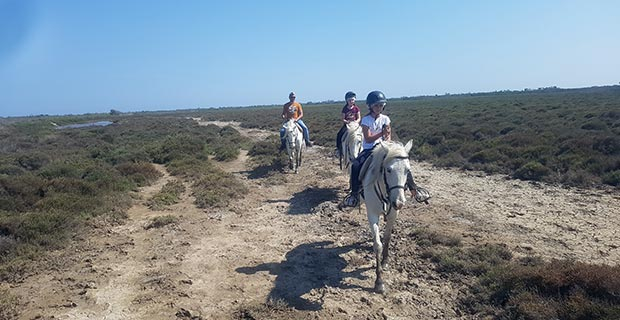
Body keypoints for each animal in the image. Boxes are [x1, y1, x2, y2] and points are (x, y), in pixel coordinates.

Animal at [358, 140, 412, 292]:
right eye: (388, 170)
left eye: (407, 170)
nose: (399, 203)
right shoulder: (372, 215)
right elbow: (378, 244)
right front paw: (379, 282)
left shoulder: (393, 214)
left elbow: (387, 237)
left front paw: (385, 261)